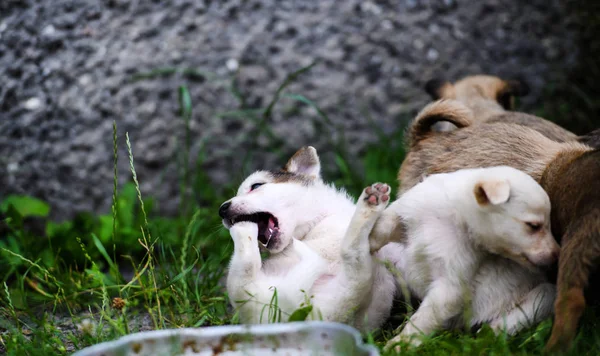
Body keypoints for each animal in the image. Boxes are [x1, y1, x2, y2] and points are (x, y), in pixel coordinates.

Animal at [382, 166, 560, 350]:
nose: (556, 254)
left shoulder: (452, 281)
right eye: (534, 226)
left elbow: (424, 318)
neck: (454, 212)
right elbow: (382, 225)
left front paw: (398, 345)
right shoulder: (406, 210)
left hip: (544, 296)